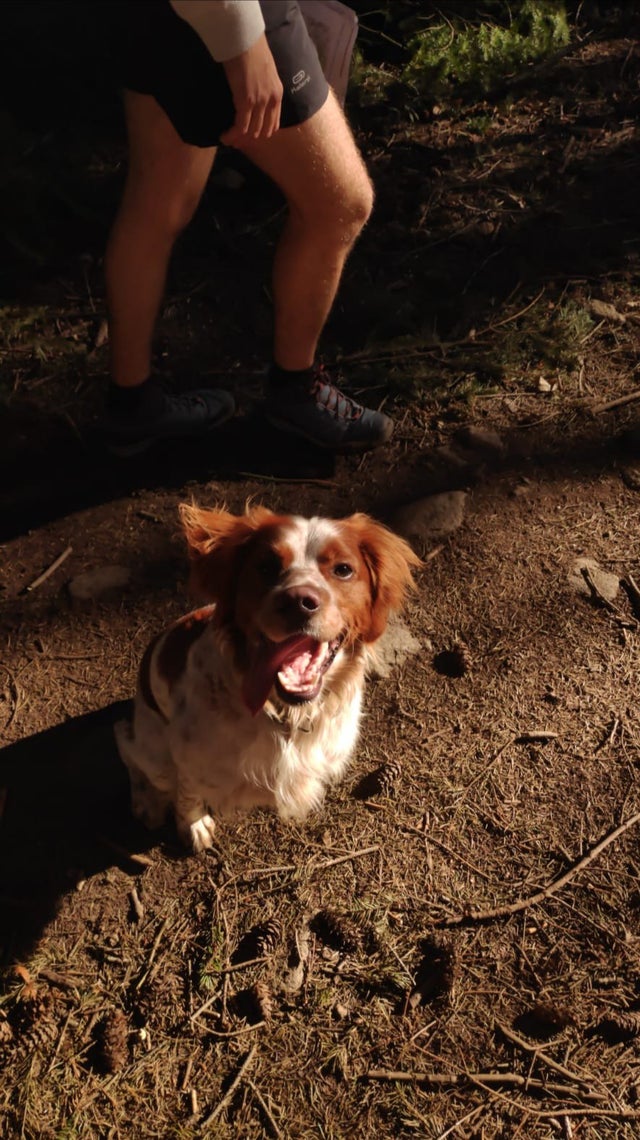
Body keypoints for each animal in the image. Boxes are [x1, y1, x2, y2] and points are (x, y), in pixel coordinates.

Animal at [114, 503, 419, 852]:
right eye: (266, 565)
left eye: (343, 569)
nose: (299, 601)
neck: (286, 716)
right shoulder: (186, 756)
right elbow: (187, 793)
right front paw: (193, 825)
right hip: (155, 754)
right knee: (125, 742)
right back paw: (146, 802)